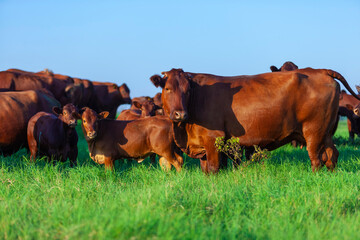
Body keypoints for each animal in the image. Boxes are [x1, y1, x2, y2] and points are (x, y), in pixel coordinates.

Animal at [150, 68, 360, 173]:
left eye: (187, 90)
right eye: (168, 88)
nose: (180, 114)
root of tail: (320, 70)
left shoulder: (213, 140)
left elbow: (214, 168)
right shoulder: (203, 144)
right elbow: (206, 170)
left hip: (313, 132)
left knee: (317, 159)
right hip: (326, 132)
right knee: (331, 155)